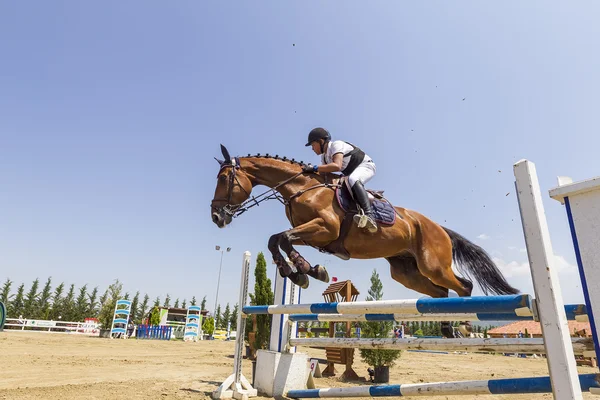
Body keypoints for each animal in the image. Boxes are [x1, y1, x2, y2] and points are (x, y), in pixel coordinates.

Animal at [210, 145, 516, 338]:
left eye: (224, 178)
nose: (216, 217)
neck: (301, 188)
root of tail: (438, 227)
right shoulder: (314, 234)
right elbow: (278, 240)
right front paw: (302, 272)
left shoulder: (325, 228)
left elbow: (282, 238)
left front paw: (304, 271)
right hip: (406, 272)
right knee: (440, 294)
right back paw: (446, 328)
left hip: (433, 265)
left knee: (463, 286)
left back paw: (464, 324)